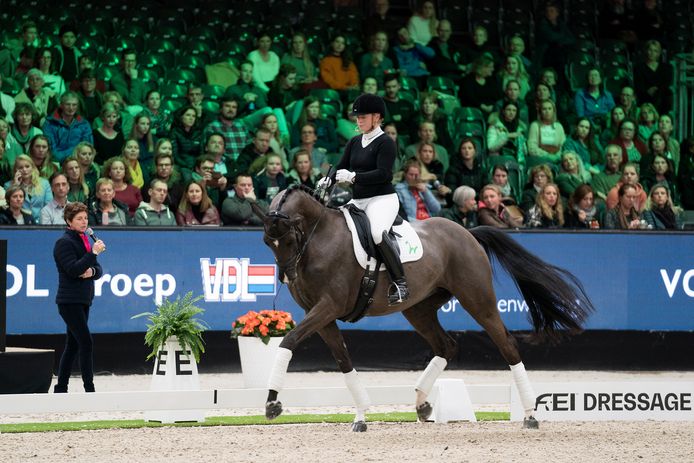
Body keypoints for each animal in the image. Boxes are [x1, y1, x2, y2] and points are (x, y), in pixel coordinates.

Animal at [253, 184, 596, 432]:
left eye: (288, 238)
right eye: (267, 242)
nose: (287, 276)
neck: (318, 236)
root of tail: (467, 232)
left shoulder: (328, 307)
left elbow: (288, 341)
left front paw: (271, 404)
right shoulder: (321, 315)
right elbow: (343, 360)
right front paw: (361, 416)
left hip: (477, 299)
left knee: (507, 345)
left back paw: (529, 415)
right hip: (418, 309)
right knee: (447, 345)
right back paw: (422, 404)